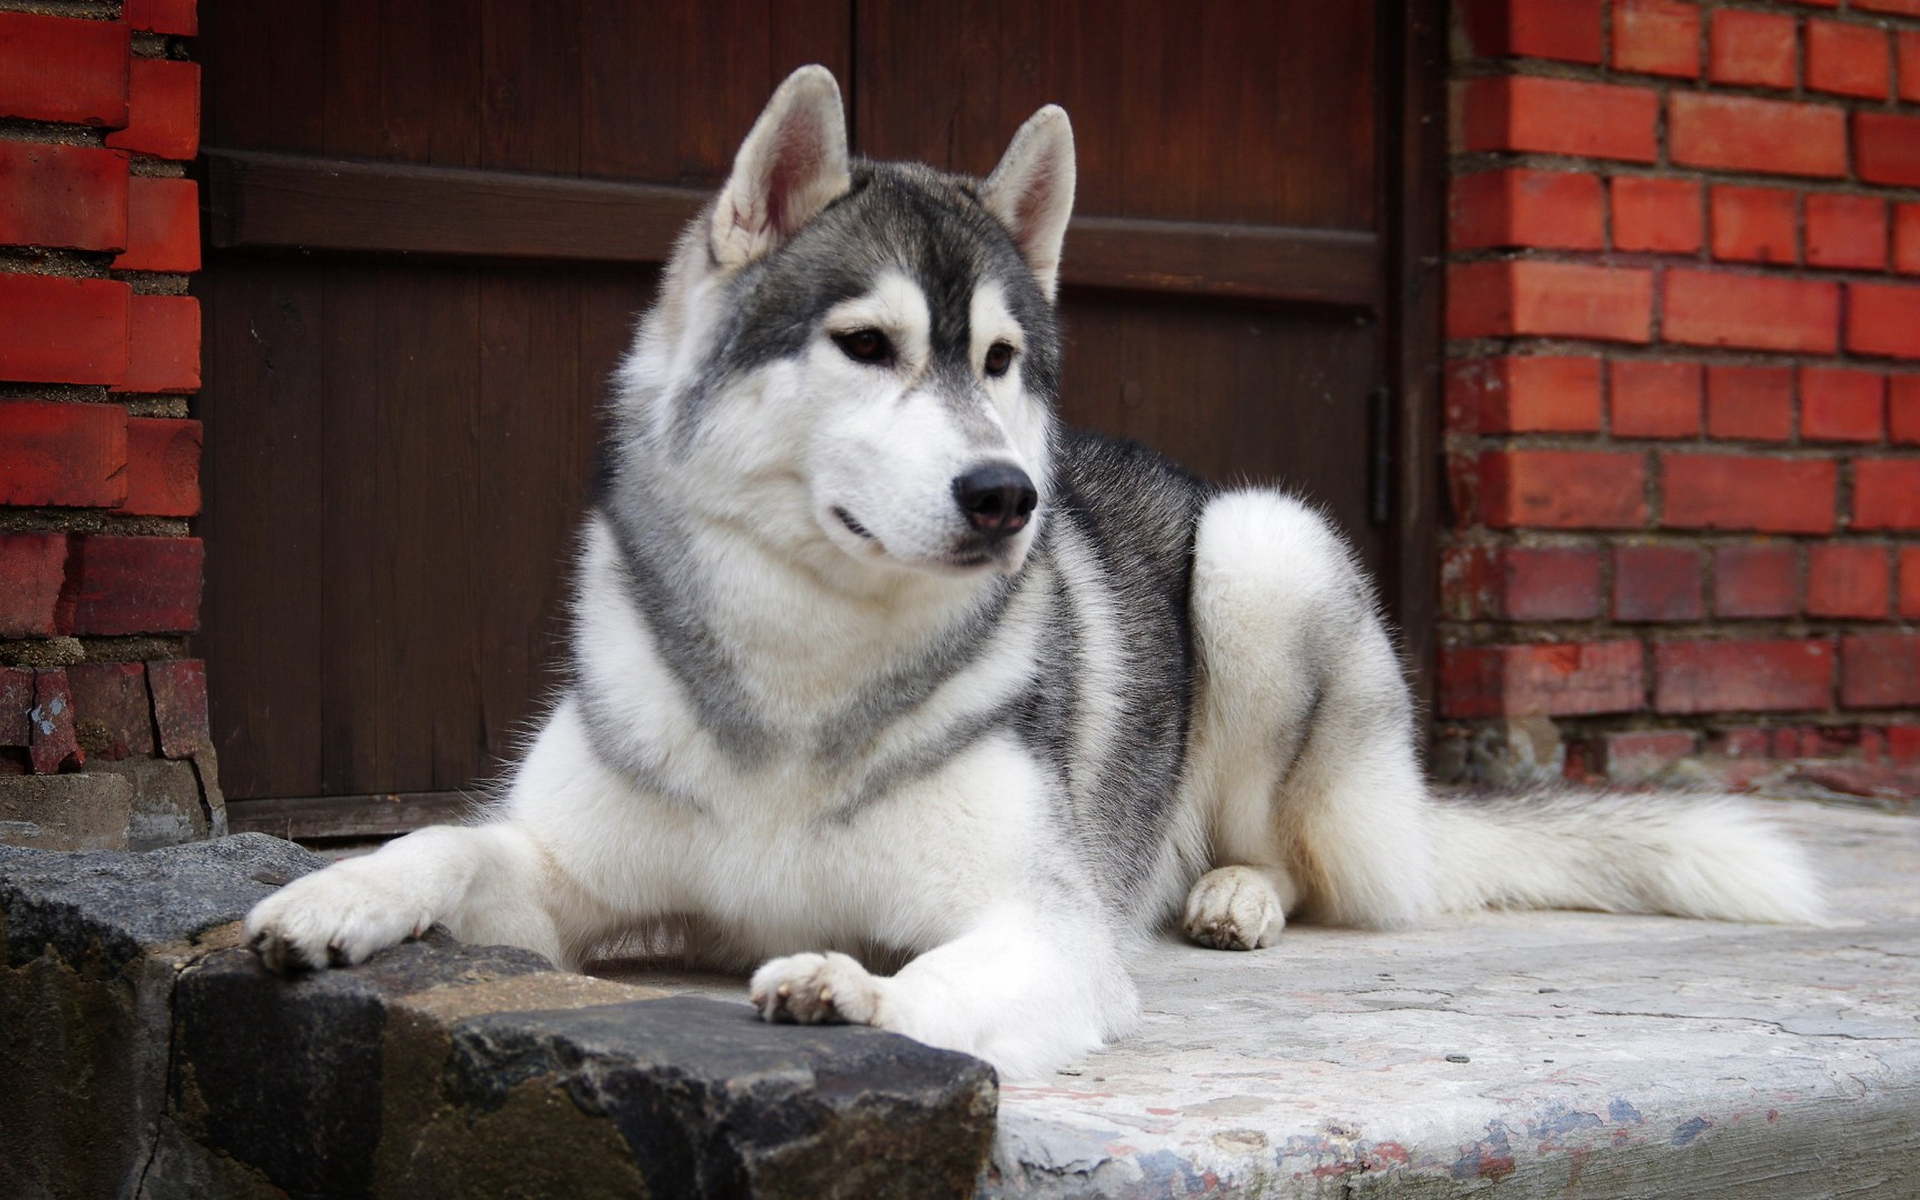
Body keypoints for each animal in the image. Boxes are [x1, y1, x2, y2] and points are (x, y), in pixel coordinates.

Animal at [247, 63, 1820, 1075]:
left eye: (1001, 361)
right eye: (866, 344)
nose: (1007, 495)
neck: (806, 678)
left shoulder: (1044, 923)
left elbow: (945, 975)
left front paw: (851, 990)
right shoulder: (569, 874)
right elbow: (456, 844)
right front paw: (328, 901)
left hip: (1264, 550)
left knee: (1306, 860)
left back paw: (1233, 893)